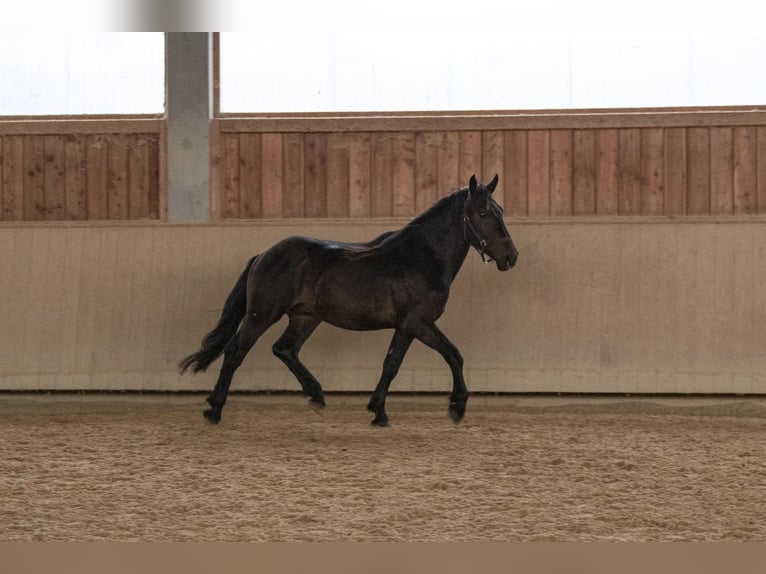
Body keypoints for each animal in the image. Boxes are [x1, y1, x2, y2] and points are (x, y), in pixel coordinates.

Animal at [180, 176, 520, 428]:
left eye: (500, 210)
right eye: (482, 213)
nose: (511, 256)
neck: (421, 258)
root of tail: (264, 254)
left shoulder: (406, 326)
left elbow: (391, 365)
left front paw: (378, 411)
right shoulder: (419, 322)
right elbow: (453, 355)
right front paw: (457, 407)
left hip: (305, 317)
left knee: (284, 349)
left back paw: (316, 396)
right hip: (261, 314)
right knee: (235, 351)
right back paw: (214, 410)